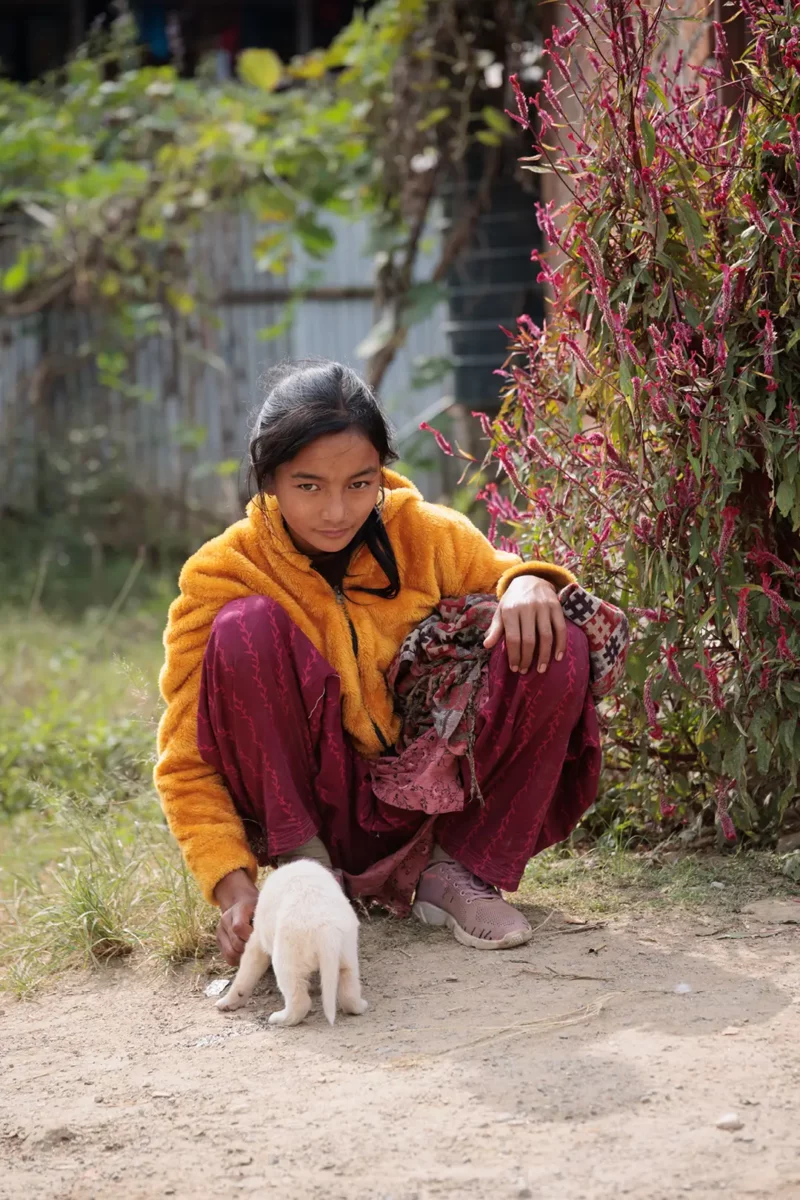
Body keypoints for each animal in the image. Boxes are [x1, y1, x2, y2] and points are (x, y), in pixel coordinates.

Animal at [217, 859, 371, 1027]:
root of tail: (326, 929)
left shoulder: (256, 942)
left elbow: (244, 976)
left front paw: (228, 1001)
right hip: (348, 956)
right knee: (349, 993)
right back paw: (360, 1005)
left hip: (286, 963)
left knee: (300, 1003)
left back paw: (280, 1018)